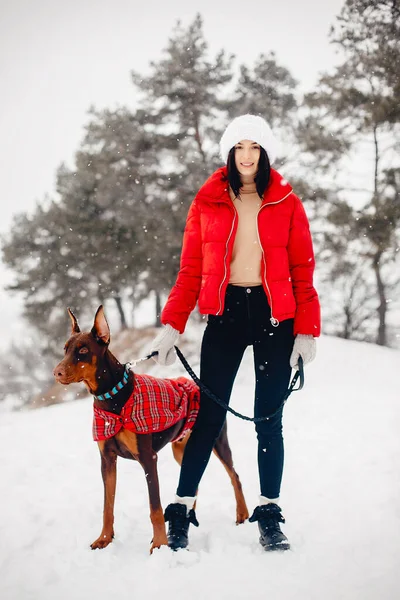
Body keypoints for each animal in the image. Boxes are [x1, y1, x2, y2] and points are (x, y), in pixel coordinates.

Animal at [53, 310, 247, 552]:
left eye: (83, 351)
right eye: (65, 349)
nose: (56, 372)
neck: (112, 399)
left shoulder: (148, 458)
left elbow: (155, 507)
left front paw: (160, 545)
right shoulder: (107, 460)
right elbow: (108, 505)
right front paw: (105, 539)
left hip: (217, 440)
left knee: (234, 475)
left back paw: (242, 514)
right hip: (182, 449)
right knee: (193, 485)